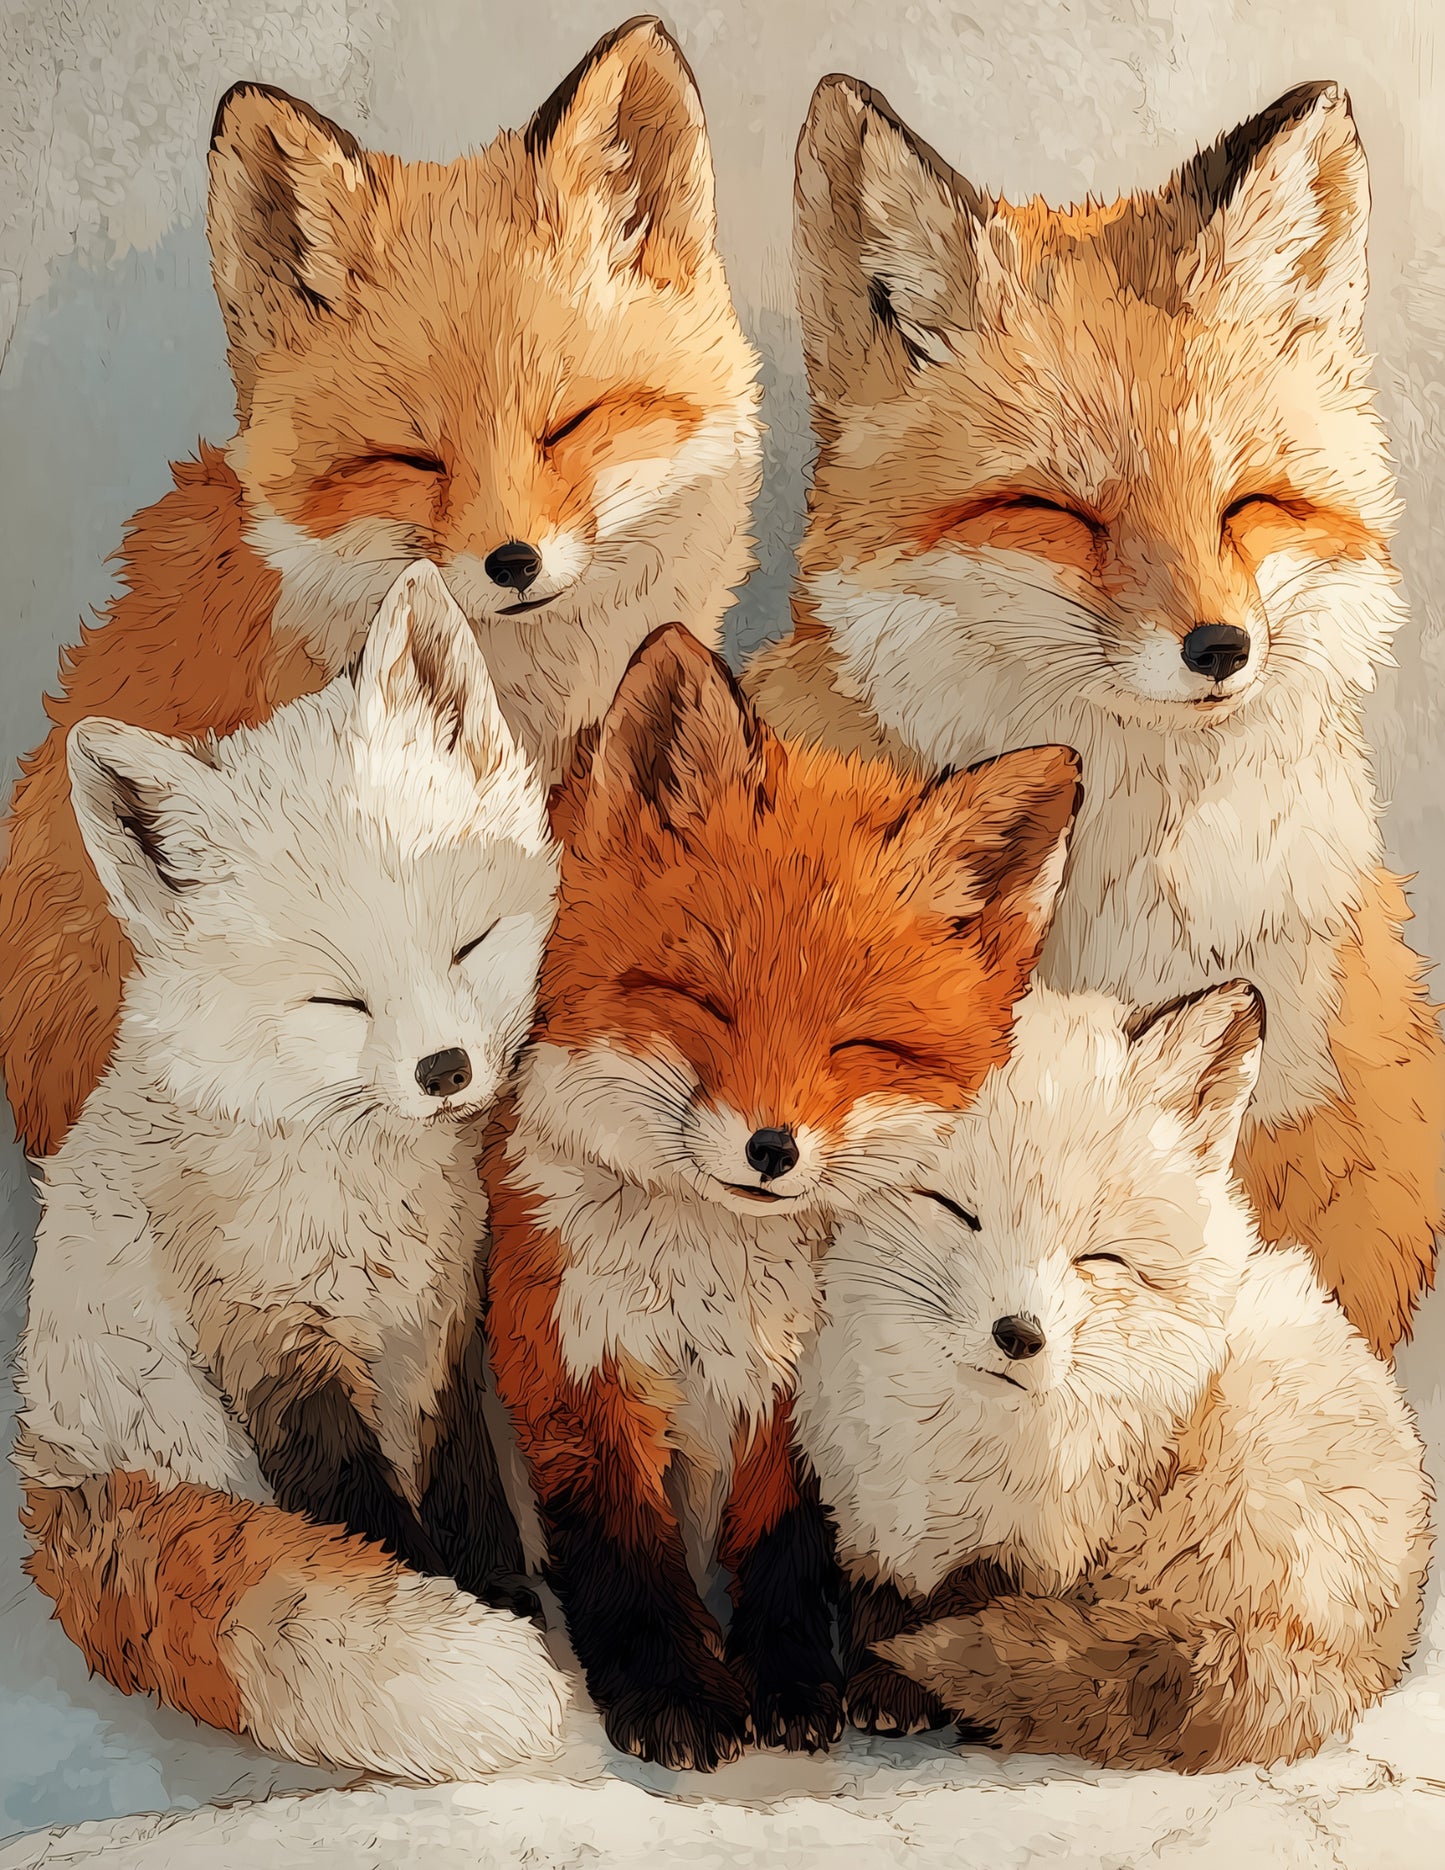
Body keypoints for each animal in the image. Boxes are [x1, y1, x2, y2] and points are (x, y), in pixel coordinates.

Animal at [12, 560, 570, 1782]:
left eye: (466, 945)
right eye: (337, 1000)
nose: (446, 1070)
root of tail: (45, 1473)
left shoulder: (433, 1325)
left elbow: (462, 1485)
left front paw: (500, 1588)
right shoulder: (271, 1345)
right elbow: (358, 1518)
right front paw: (440, 1598)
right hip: (176, 1419)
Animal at [483, 621, 1081, 1772]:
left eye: (857, 1045)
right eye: (705, 1003)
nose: (771, 1148)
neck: (713, 1273)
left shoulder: (807, 1387)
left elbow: (787, 1548)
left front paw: (795, 1684)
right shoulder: (572, 1353)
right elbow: (623, 1554)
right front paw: (673, 1692)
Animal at [794, 983, 1432, 1772]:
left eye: (1099, 1257)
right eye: (956, 1211)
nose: (1019, 1335)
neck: (952, 1446)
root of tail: (1375, 1652)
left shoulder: (1052, 1548)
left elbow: (976, 1605)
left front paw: (919, 1684)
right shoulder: (866, 1514)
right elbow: (879, 1600)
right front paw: (884, 1682)